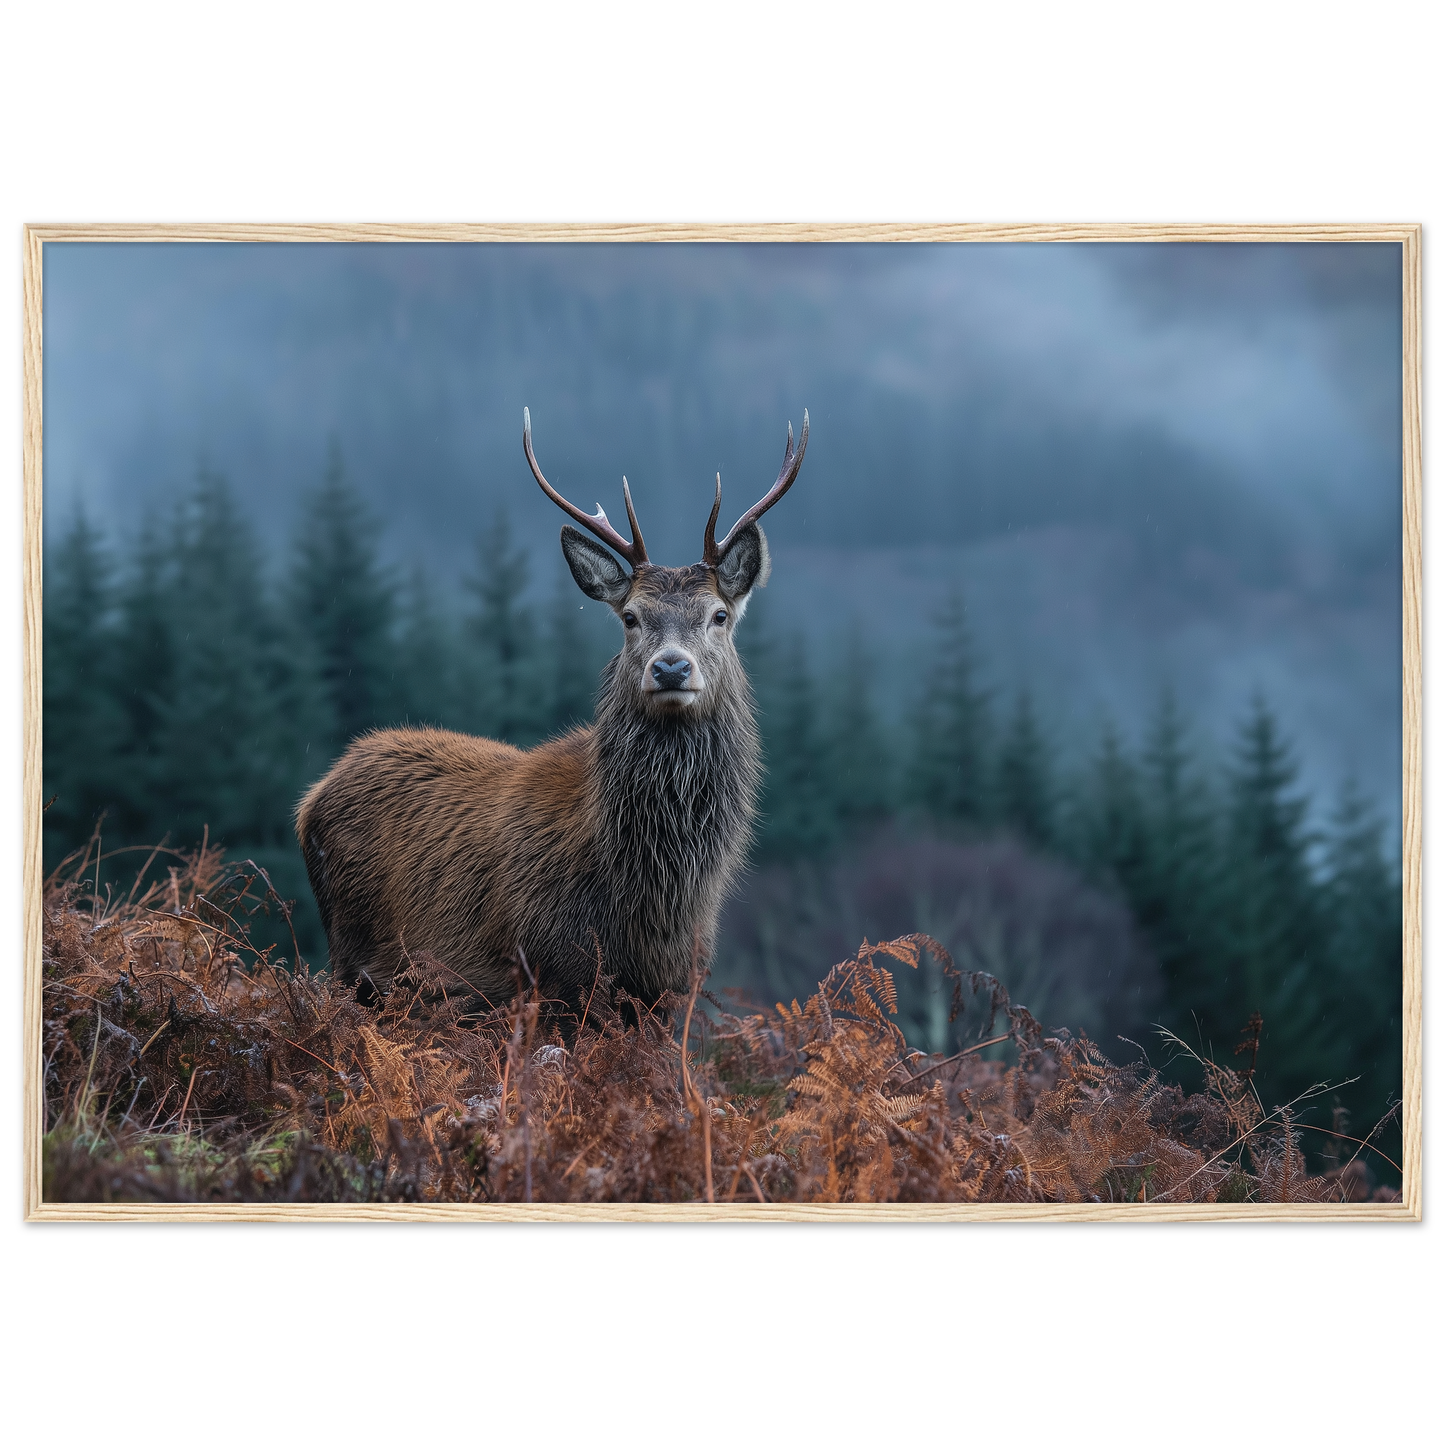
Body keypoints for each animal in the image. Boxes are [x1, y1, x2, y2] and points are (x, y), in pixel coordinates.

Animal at [295, 406, 809, 1022]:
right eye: (631, 617)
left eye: (718, 615)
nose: (670, 668)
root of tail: (311, 798)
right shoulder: (553, 975)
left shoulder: (670, 990)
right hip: (354, 958)